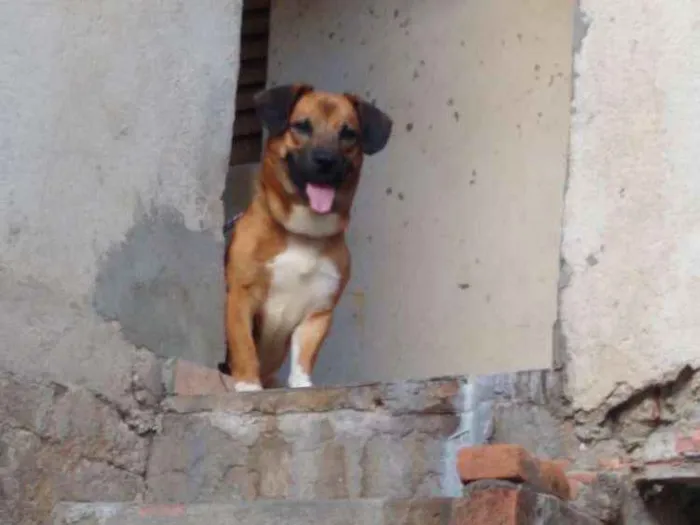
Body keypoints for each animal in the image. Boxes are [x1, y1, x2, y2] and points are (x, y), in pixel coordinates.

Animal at [221, 84, 392, 390]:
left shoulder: (318, 312)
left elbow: (304, 357)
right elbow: (244, 346)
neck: (304, 233)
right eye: (301, 126)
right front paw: (249, 386)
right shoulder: (241, 296)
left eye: (348, 133)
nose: (325, 160)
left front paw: (302, 385)